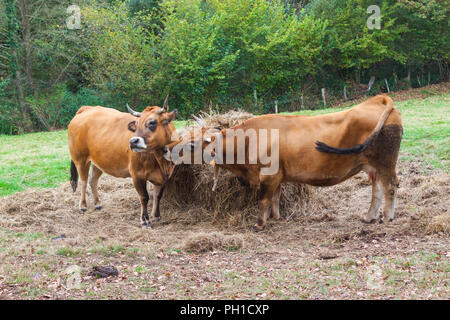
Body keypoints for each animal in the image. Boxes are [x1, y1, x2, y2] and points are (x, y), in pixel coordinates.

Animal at [67, 96, 177, 226]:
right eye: (136, 124)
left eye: (152, 122)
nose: (133, 141)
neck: (161, 162)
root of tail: (87, 109)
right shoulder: (137, 175)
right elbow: (144, 197)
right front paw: (145, 220)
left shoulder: (165, 176)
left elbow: (158, 195)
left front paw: (156, 215)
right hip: (81, 160)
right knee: (83, 181)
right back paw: (83, 206)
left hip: (98, 162)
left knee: (92, 180)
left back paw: (97, 203)